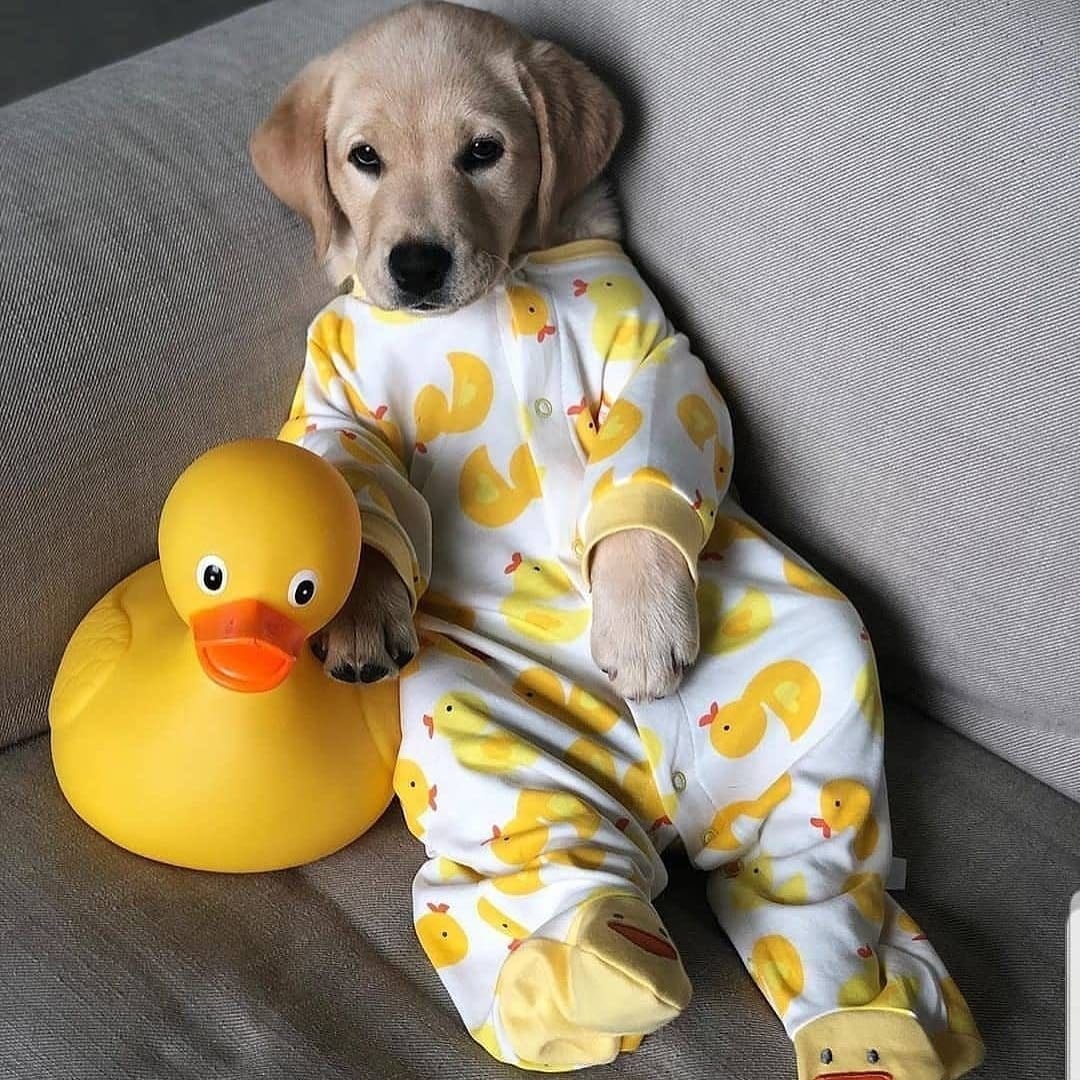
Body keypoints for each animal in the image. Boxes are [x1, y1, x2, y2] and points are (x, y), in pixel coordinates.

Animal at [248, 0, 695, 699]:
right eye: (365, 157)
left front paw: (643, 619)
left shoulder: (652, 353)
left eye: (484, 151)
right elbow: (355, 483)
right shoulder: (338, 401)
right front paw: (359, 611)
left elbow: (646, 456)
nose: (417, 266)